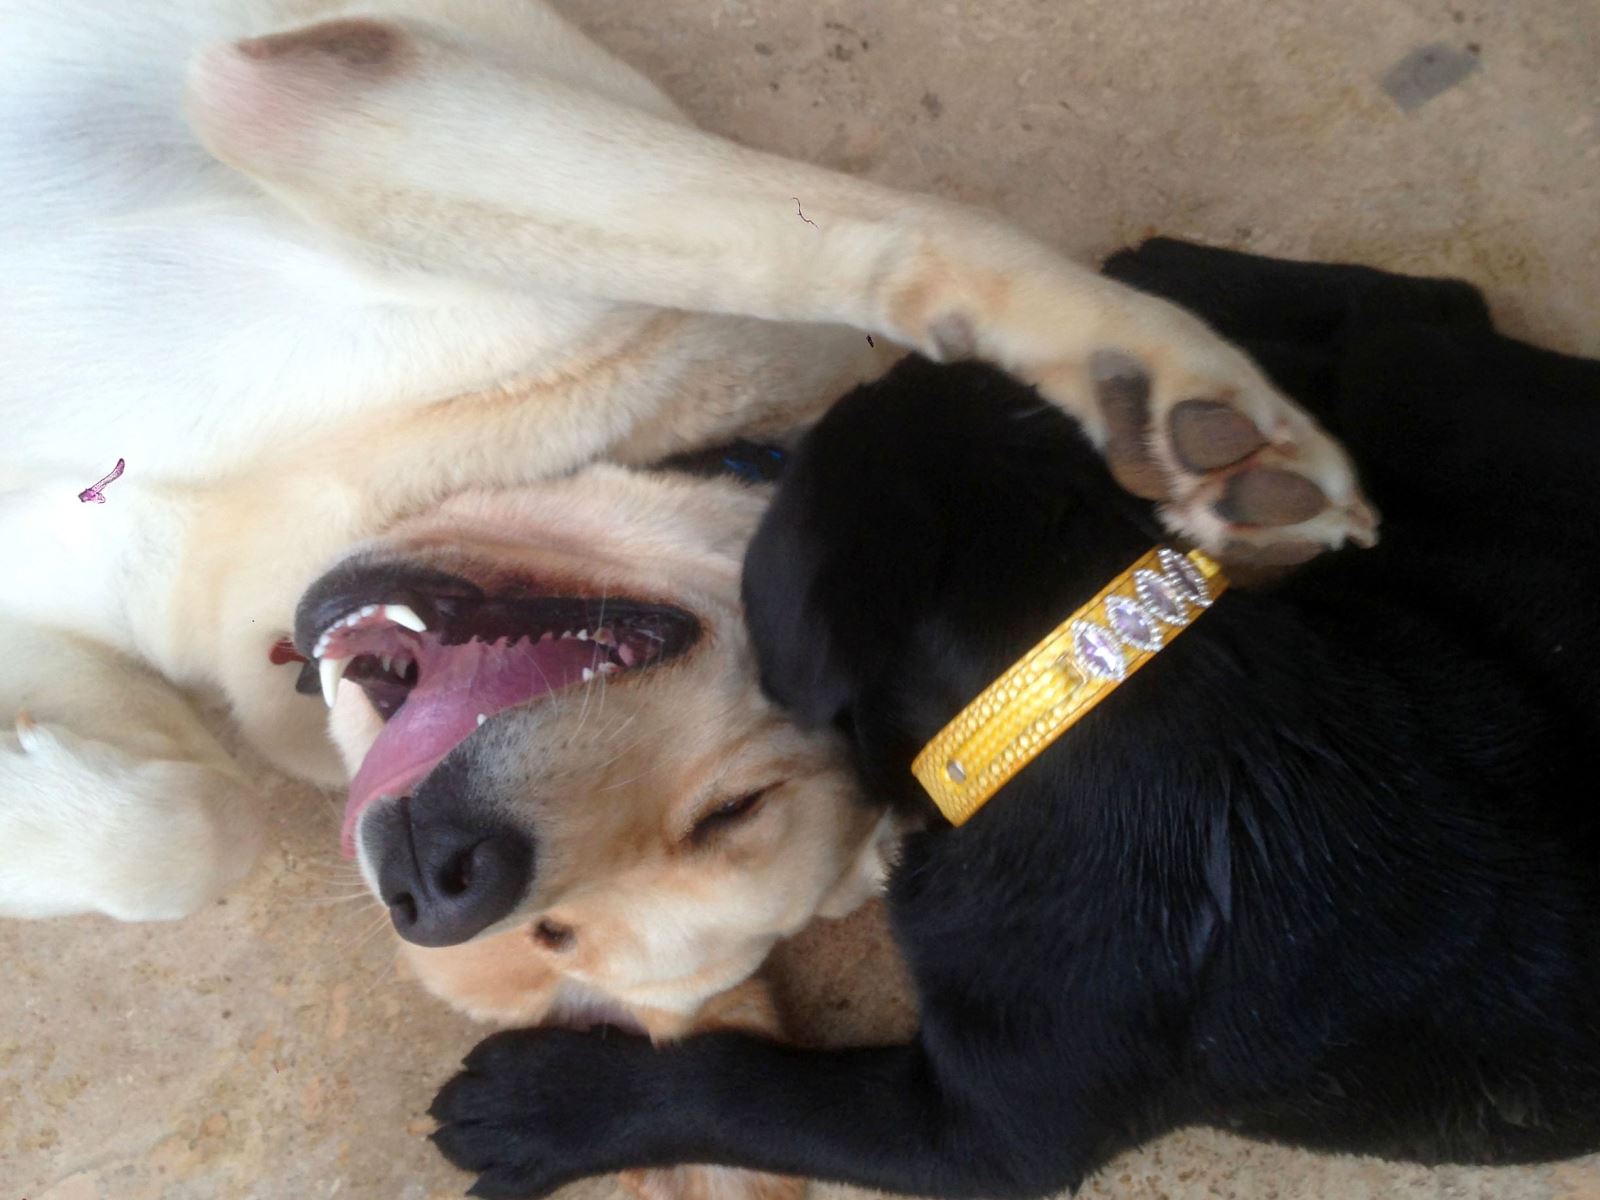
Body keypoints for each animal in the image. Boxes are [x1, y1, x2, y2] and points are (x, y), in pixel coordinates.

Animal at [425, 240, 1600, 1196]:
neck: (1089, 688)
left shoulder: (981, 1135)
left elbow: (739, 1085)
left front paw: (550, 1106)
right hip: (1433, 404)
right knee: (1417, 309)